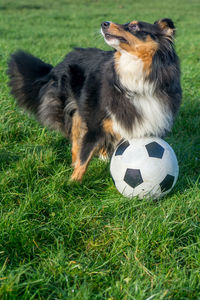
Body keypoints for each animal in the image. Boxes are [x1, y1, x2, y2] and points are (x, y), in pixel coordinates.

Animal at [7, 19, 181, 183]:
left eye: (134, 26)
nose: (104, 23)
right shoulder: (95, 122)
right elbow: (84, 156)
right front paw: (72, 183)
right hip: (75, 110)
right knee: (76, 142)